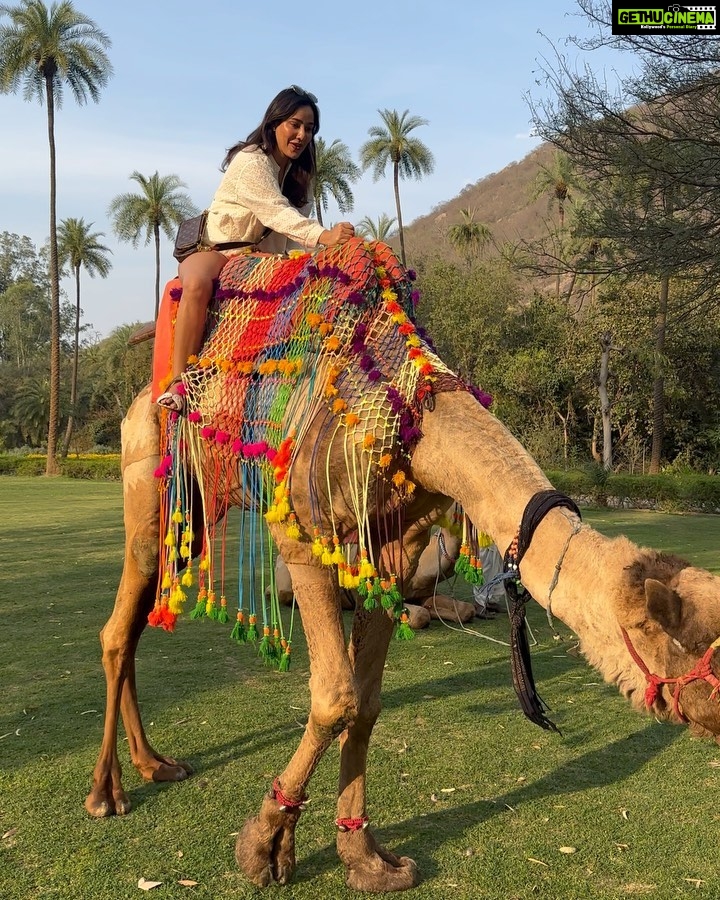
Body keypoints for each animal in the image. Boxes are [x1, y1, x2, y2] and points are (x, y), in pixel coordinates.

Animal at [84, 239, 720, 892]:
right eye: (691, 647)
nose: (717, 717)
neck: (415, 421)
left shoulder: (397, 551)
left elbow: (366, 703)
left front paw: (366, 858)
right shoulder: (303, 532)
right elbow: (334, 696)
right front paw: (264, 847)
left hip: (194, 509)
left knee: (136, 621)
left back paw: (155, 764)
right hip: (149, 473)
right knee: (118, 625)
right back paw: (107, 793)